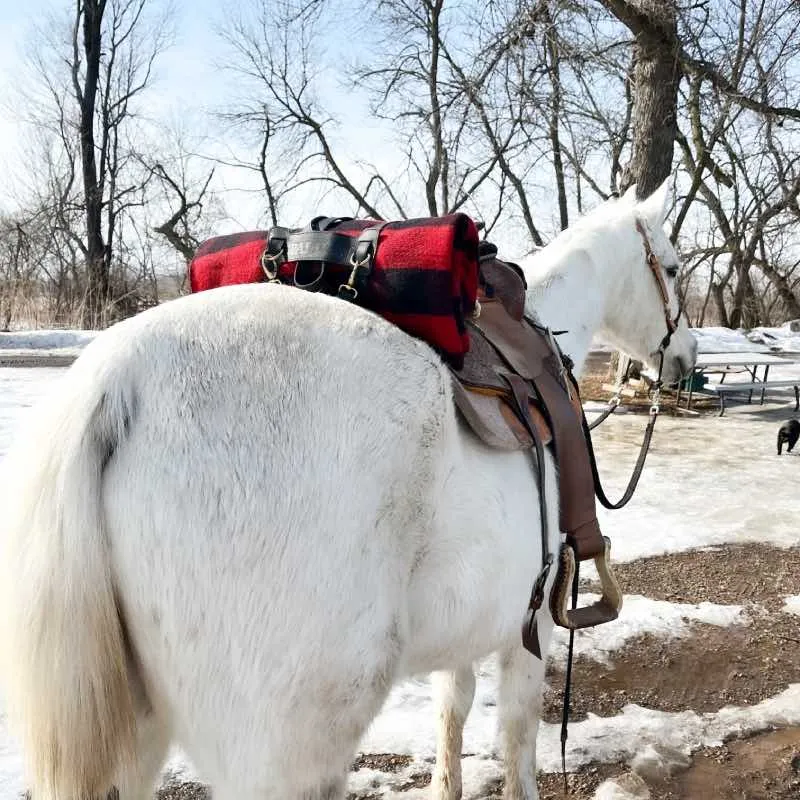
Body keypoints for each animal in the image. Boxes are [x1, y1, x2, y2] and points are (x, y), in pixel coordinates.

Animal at [0, 181, 692, 800]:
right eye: (675, 266)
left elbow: (453, 710)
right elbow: (518, 740)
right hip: (289, 745)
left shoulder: (469, 622)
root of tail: (117, 376)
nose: (685, 358)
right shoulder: (532, 624)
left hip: (136, 731)